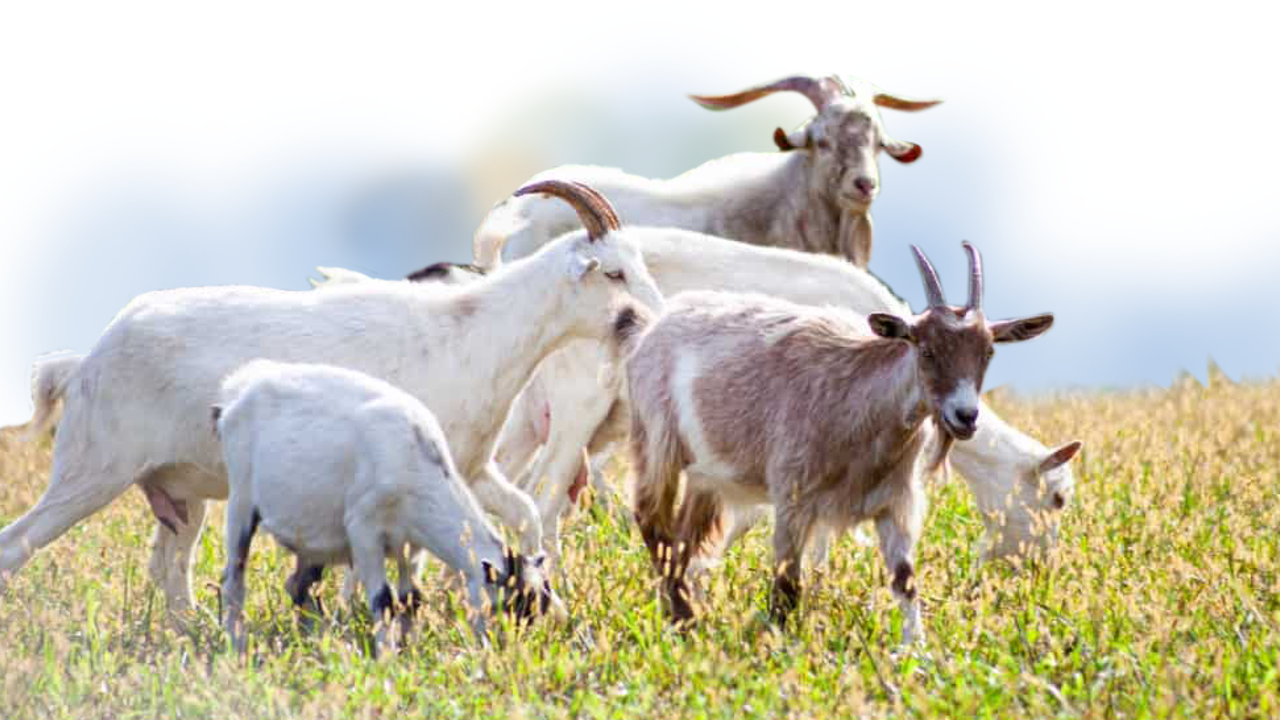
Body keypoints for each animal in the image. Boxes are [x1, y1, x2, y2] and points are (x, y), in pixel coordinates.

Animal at [0, 180, 663, 616]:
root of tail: (87, 360)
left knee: (168, 562)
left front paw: (542, 596)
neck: (474, 329)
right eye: (612, 273)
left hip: (180, 491)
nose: (653, 320)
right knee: (17, 544)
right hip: (93, 468)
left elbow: (523, 512)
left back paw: (192, 634)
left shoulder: (472, 467)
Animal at [214, 360, 563, 653]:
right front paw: (386, 658)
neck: (416, 462)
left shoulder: (412, 544)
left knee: (299, 586)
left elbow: (411, 598)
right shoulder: (364, 529)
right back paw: (236, 643)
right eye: (508, 606)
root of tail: (235, 394)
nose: (505, 650)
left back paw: (315, 639)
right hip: (241, 497)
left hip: (310, 531)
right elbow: (383, 600)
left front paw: (408, 648)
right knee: (232, 579)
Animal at [624, 243, 1053, 642]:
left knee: (682, 540)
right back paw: (684, 619)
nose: (965, 416)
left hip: (707, 475)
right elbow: (787, 586)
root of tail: (653, 329)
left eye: (988, 352)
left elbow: (905, 581)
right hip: (657, 440)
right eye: (925, 349)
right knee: (652, 521)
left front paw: (916, 649)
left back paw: (682, 611)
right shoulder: (793, 497)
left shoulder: (893, 502)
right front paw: (778, 643)